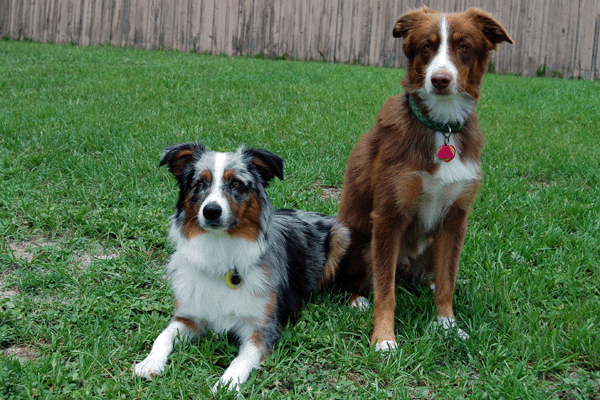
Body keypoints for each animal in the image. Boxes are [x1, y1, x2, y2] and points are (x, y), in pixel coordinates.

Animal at [336, 7, 512, 350]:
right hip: (357, 239)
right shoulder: (388, 216)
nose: (440, 79)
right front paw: (384, 338)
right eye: (426, 47)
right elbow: (385, 290)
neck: (441, 128)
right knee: (361, 280)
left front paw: (447, 324)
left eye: (464, 46)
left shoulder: (455, 219)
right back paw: (356, 300)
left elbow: (447, 281)